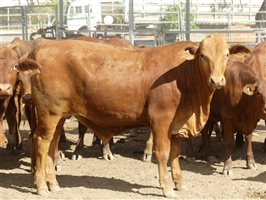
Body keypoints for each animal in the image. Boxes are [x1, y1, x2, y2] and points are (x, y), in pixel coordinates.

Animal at [17, 35, 230, 198]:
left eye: (226, 55)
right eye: (203, 55)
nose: (217, 80)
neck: (183, 75)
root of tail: (44, 47)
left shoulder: (176, 125)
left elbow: (175, 155)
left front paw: (179, 184)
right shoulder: (161, 120)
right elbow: (163, 154)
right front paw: (167, 188)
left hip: (58, 116)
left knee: (52, 144)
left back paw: (53, 184)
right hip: (49, 114)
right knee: (41, 142)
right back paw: (41, 187)